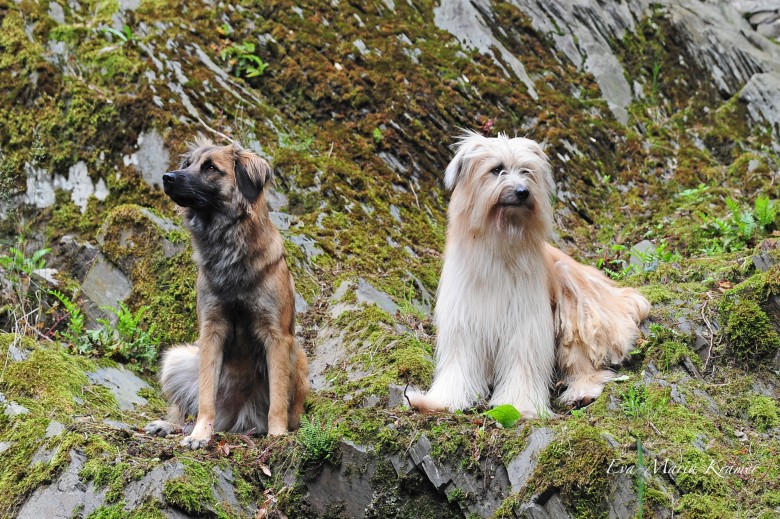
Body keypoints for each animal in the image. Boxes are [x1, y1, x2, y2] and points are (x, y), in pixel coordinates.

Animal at [145, 139, 310, 450]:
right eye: (188, 165)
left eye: (211, 168)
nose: (167, 177)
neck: (228, 249)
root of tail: (233, 421)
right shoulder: (211, 329)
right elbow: (206, 397)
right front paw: (200, 435)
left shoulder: (277, 336)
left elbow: (277, 400)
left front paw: (277, 435)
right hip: (178, 357)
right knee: (187, 412)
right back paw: (172, 426)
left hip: (298, 357)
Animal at [406, 133, 648, 418]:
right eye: (496, 169)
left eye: (526, 171)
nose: (522, 191)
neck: (499, 244)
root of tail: (622, 298)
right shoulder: (465, 322)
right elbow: (459, 366)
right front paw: (439, 402)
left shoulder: (524, 324)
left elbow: (523, 364)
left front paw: (519, 405)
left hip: (580, 309)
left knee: (586, 364)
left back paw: (581, 392)